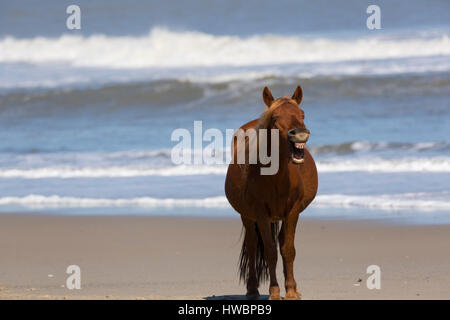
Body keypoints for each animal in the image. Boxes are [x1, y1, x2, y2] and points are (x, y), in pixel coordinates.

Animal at [224, 85, 316, 300]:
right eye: (275, 117)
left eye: (302, 114)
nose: (300, 134)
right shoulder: (260, 214)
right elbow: (270, 252)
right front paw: (274, 292)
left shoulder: (293, 211)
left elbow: (288, 250)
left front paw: (290, 291)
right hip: (247, 216)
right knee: (252, 245)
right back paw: (252, 289)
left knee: (281, 243)